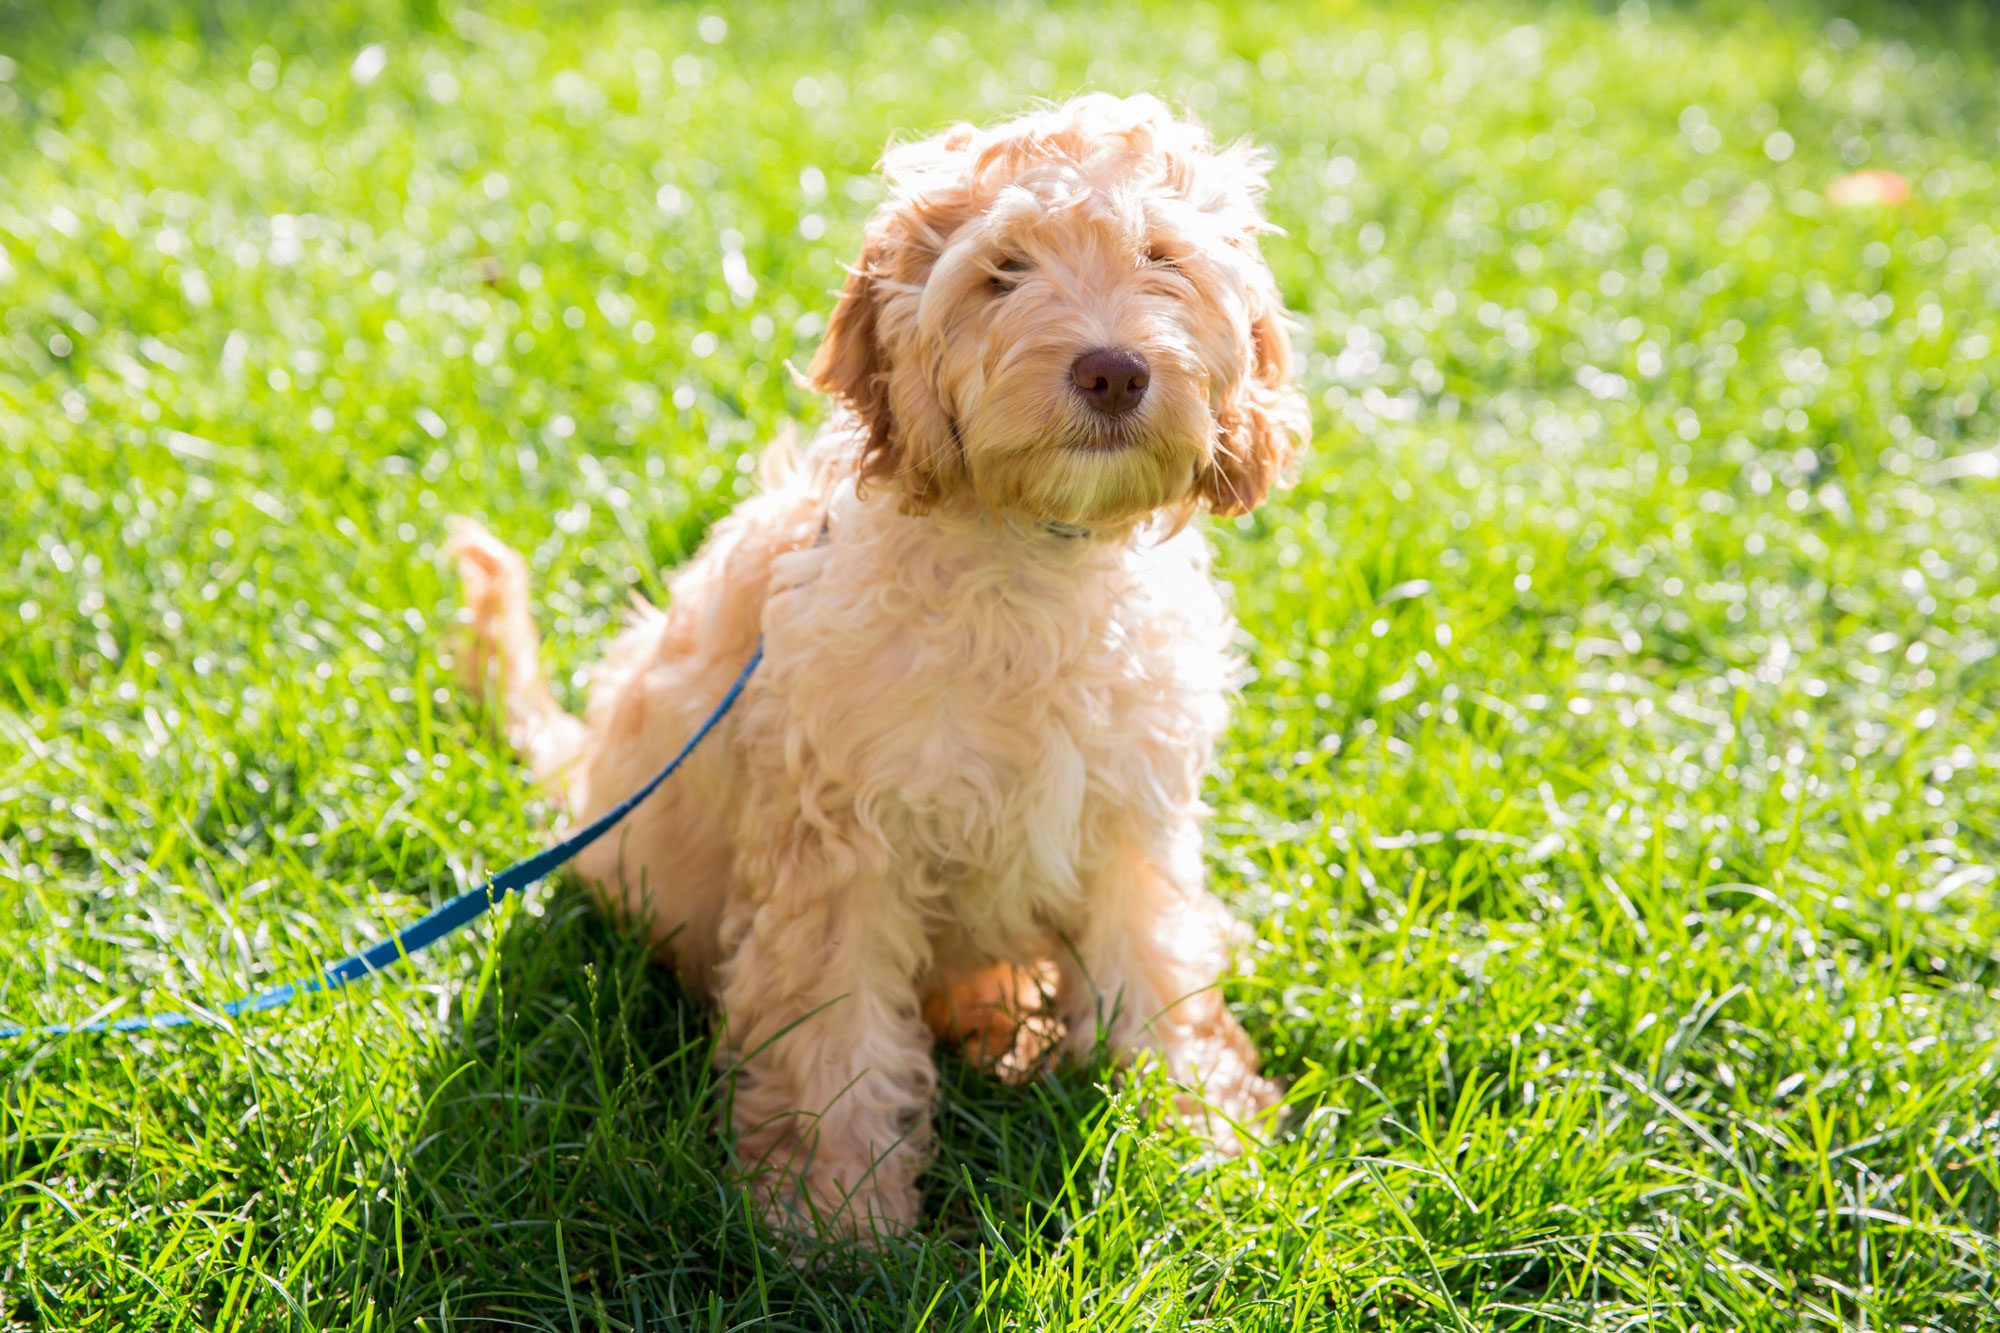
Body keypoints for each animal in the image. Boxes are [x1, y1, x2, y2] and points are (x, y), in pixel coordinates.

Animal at [446, 96, 1304, 1232]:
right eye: (1003, 272)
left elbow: (1157, 971)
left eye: (1161, 258)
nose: (1113, 370)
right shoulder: (839, 846)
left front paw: (1199, 1136)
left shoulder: (1129, 818)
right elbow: (833, 1033)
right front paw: (834, 1217)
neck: (1036, 560)